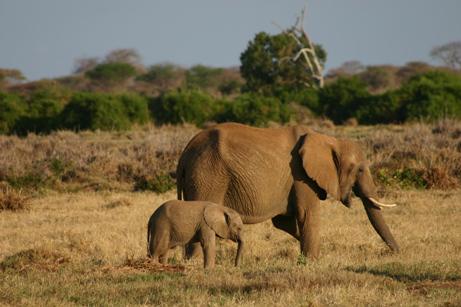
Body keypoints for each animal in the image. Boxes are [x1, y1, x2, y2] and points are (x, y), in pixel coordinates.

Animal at [176, 122, 398, 260]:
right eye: (359, 169)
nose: (397, 252)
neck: (329, 140)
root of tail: (184, 153)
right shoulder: (301, 175)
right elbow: (307, 214)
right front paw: (312, 260)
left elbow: (284, 222)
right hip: (208, 176)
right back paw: (195, 263)